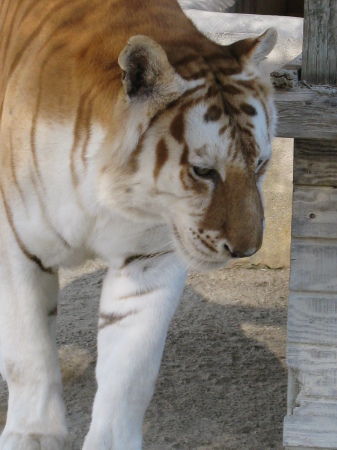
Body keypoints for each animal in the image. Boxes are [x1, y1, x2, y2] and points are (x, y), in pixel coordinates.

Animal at [0, 0, 276, 448]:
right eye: (203, 171)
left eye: (261, 164)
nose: (247, 250)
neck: (107, 193)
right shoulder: (18, 246)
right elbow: (28, 352)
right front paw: (32, 435)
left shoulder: (149, 260)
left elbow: (129, 374)